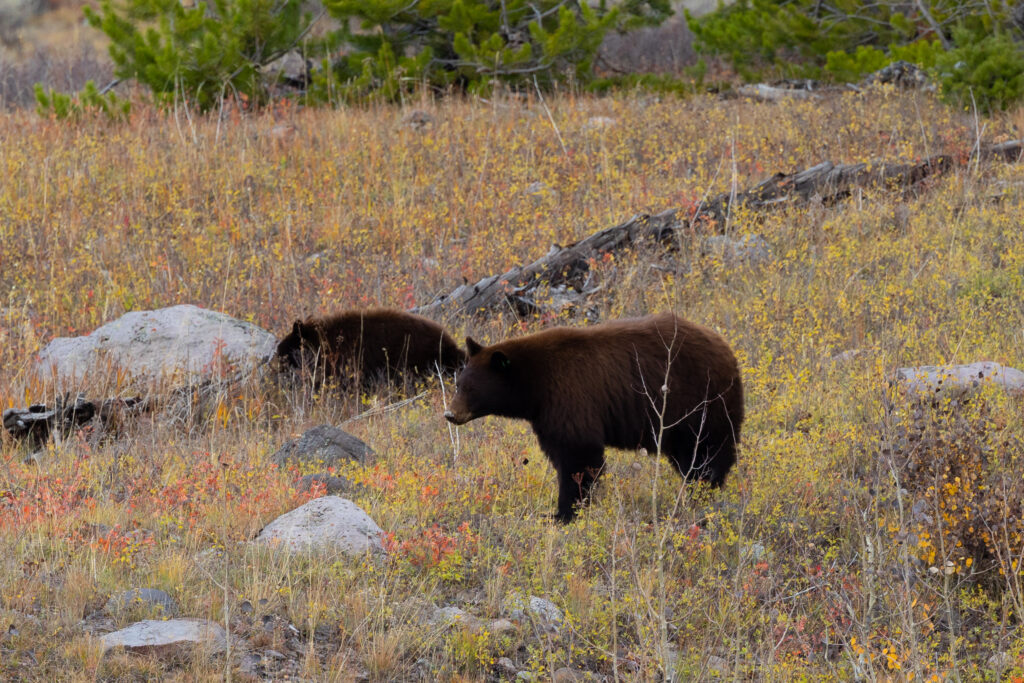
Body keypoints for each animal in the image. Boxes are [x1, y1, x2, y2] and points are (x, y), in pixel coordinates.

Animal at [444, 313, 741, 524]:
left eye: (471, 389)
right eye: (458, 384)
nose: (450, 414)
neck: (536, 384)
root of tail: (727, 349)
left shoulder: (570, 397)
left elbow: (578, 455)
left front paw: (563, 514)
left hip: (701, 402)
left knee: (707, 452)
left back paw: (704, 489)